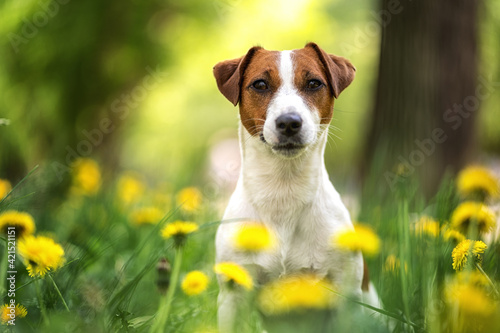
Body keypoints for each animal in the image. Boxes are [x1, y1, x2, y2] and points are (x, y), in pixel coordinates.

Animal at [213, 42, 376, 330]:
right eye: (260, 84)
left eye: (313, 83)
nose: (289, 121)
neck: (283, 191)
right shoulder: (233, 295)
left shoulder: (346, 294)